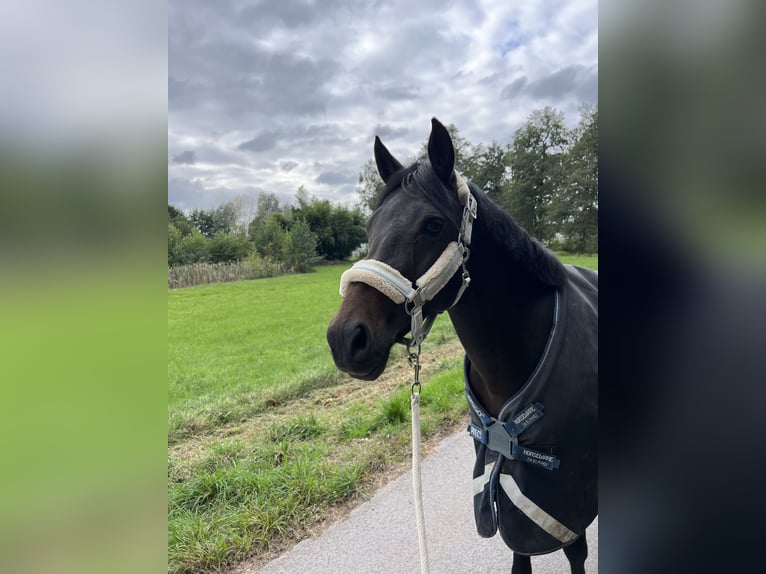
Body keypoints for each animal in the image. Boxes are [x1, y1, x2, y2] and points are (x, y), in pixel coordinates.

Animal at [326, 119, 600, 572]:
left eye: (433, 224)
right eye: (369, 227)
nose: (345, 338)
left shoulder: (564, 497)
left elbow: (574, 551)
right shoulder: (507, 483)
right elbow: (519, 553)